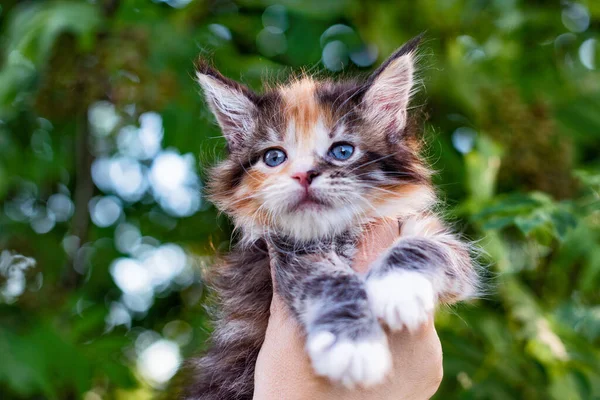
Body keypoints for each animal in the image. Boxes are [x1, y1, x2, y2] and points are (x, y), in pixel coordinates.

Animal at [183, 36, 478, 398]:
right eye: (274, 157)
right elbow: (333, 282)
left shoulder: (431, 234)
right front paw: (354, 347)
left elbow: (425, 247)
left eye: (342, 151)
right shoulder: (288, 256)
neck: (340, 231)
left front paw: (397, 287)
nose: (304, 175)